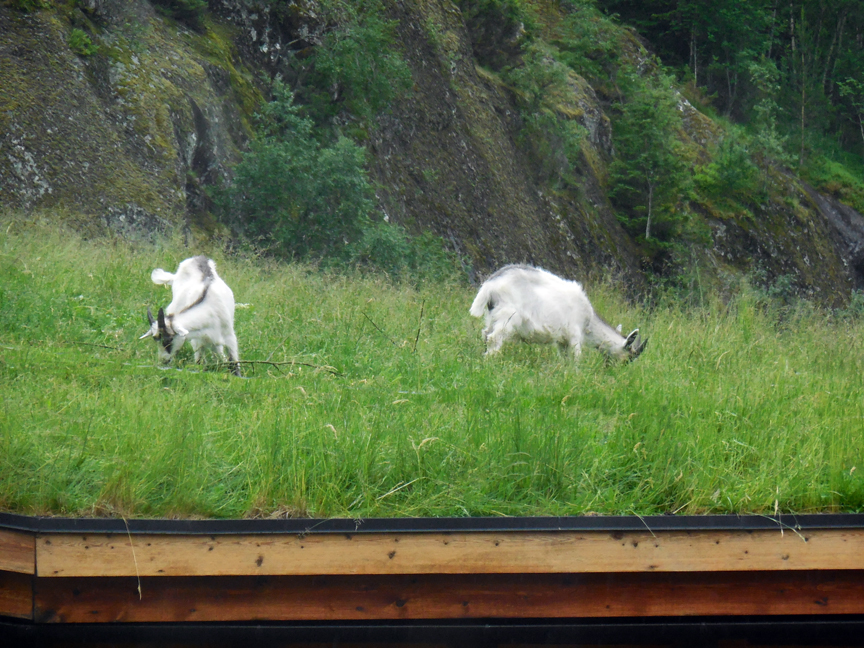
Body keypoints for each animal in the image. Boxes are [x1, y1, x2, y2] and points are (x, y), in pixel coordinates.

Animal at [469, 264, 647, 362]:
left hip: (492, 315)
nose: (615, 370)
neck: (588, 324)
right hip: (508, 315)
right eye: (630, 357)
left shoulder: (562, 341)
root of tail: (490, 285)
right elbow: (576, 357)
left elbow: (565, 358)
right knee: (494, 337)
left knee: (485, 334)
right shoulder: (575, 333)